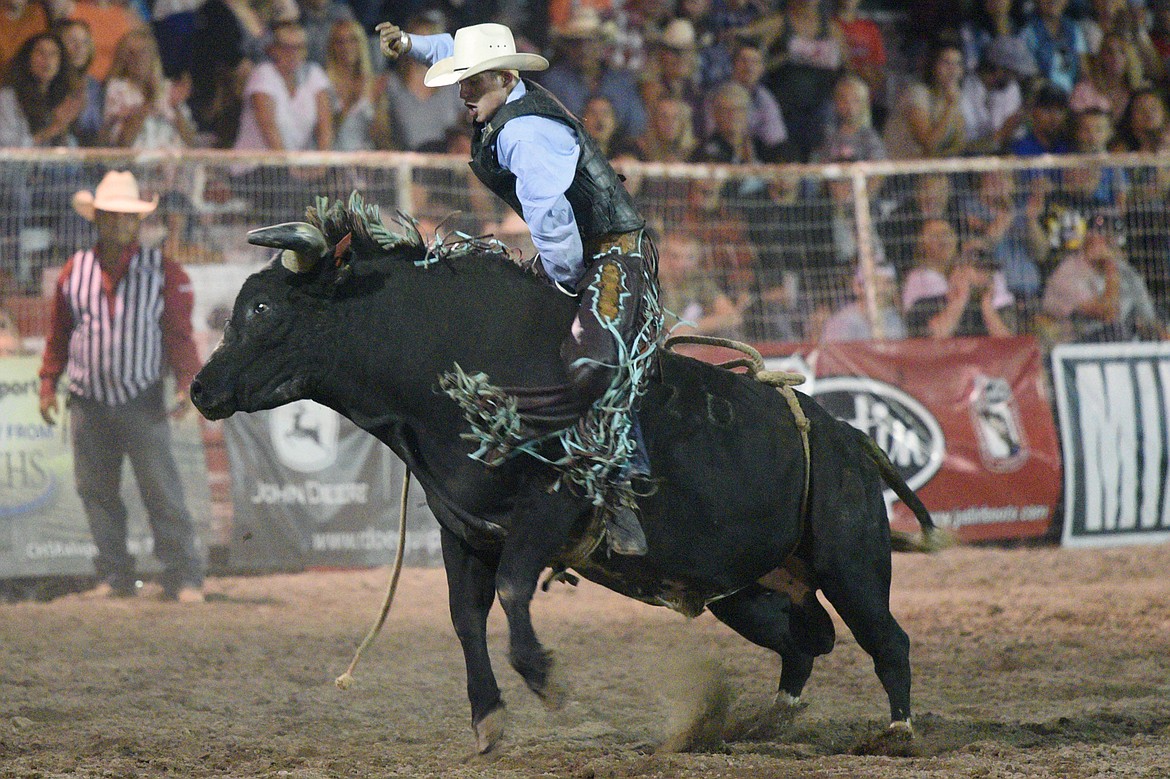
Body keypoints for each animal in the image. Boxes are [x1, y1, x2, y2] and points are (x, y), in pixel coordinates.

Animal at [189, 208, 940, 753]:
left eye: (261, 309)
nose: (199, 388)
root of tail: (846, 437)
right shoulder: (463, 529)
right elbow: (466, 617)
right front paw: (488, 719)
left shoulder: (550, 509)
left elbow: (515, 592)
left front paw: (553, 687)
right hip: (749, 588)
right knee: (806, 639)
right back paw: (764, 721)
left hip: (850, 558)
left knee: (886, 638)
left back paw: (896, 731)